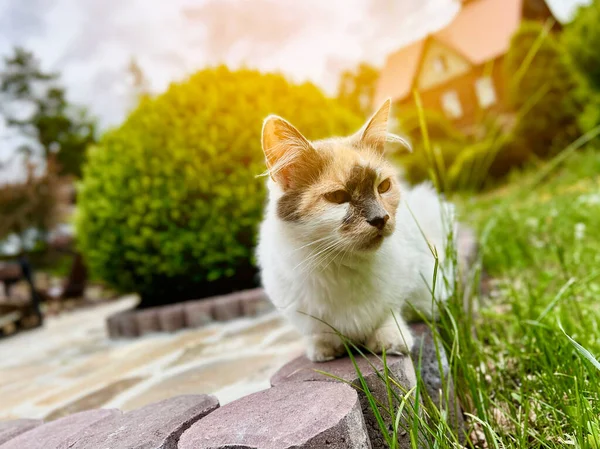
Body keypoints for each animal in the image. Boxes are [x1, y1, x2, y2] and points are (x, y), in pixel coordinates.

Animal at [254, 98, 454, 360]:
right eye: (338, 197)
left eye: (383, 186)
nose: (381, 218)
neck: (343, 265)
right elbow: (319, 333)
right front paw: (325, 349)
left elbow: (389, 313)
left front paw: (390, 341)